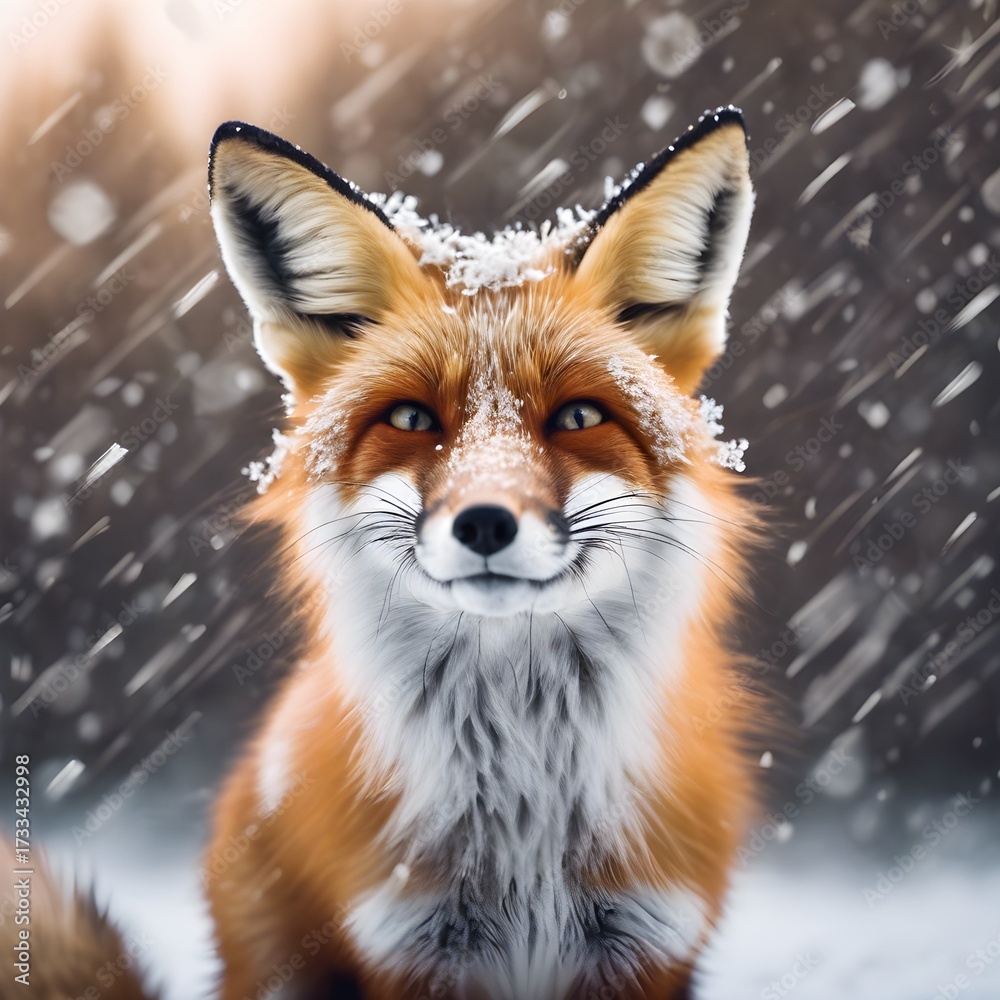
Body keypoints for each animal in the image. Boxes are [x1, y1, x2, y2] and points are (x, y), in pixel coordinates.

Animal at [5, 106, 759, 1000]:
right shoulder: (409, 945)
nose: (485, 524)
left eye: (577, 417)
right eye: (410, 418)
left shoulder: (646, 941)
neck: (525, 817)